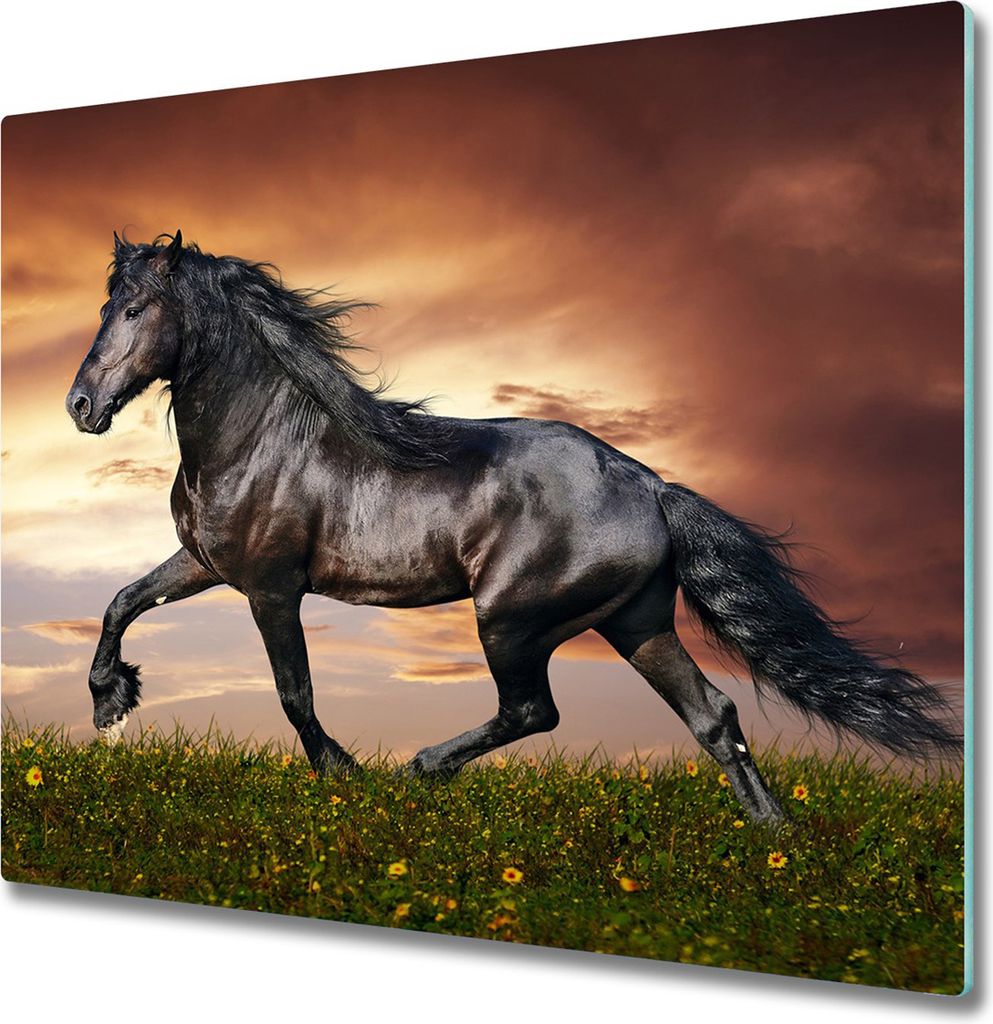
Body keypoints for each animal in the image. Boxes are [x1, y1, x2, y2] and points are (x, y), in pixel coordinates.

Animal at [65, 231, 960, 823]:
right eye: (105, 303)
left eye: (136, 308)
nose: (79, 406)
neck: (262, 437)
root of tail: (650, 486)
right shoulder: (205, 562)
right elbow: (121, 601)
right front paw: (112, 702)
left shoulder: (269, 586)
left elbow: (294, 692)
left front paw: (344, 775)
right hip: (635, 623)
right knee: (712, 715)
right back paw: (772, 839)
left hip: (511, 617)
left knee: (534, 712)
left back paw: (418, 769)